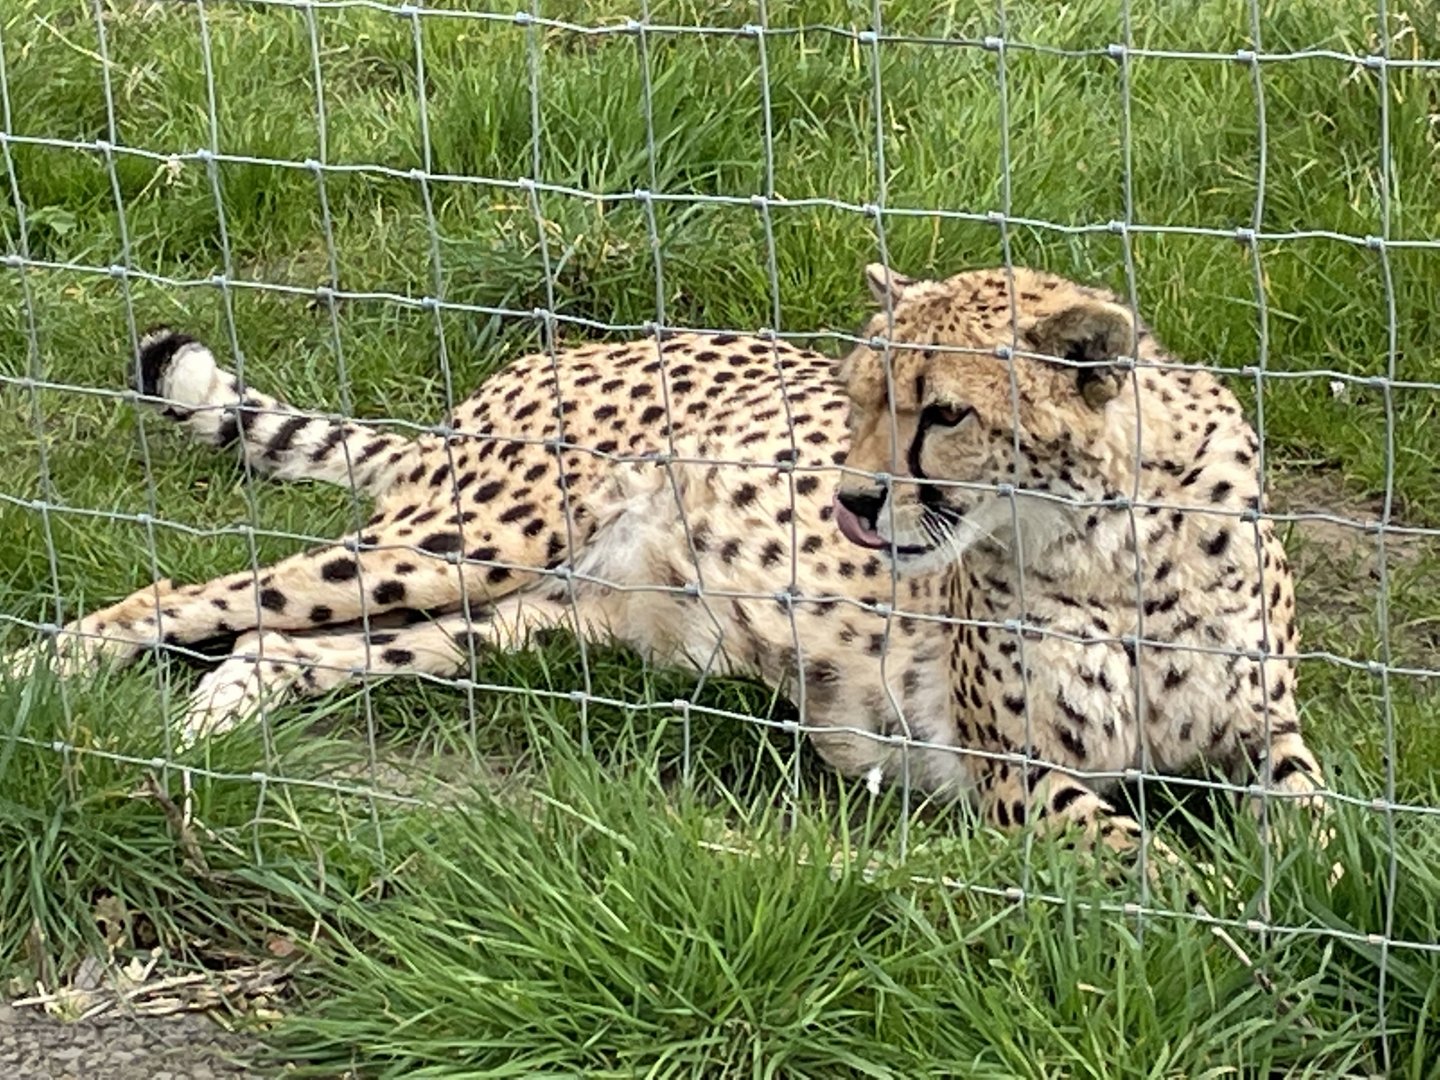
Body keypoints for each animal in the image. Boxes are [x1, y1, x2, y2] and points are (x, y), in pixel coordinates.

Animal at [5, 263, 1326, 861]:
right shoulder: (1016, 775)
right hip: (463, 544)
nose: (849, 500)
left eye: (944, 413)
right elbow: (1140, 859)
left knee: (279, 643)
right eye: (855, 398)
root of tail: (554, 356)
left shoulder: (1265, 729)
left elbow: (1316, 822)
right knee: (197, 595)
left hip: (526, 621)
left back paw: (208, 735)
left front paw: (1313, 913)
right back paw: (49, 686)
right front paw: (1225, 924)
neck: (1107, 539)